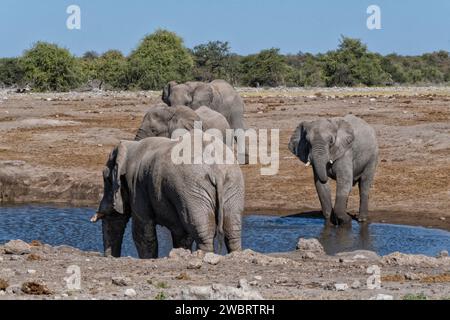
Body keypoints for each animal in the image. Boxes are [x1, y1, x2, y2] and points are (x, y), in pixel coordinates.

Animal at [92, 136, 246, 258]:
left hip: (193, 190)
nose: (112, 258)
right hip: (232, 185)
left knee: (200, 228)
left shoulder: (137, 187)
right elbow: (182, 235)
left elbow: (142, 232)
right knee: (231, 229)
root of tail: (217, 170)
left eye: (106, 179)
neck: (130, 147)